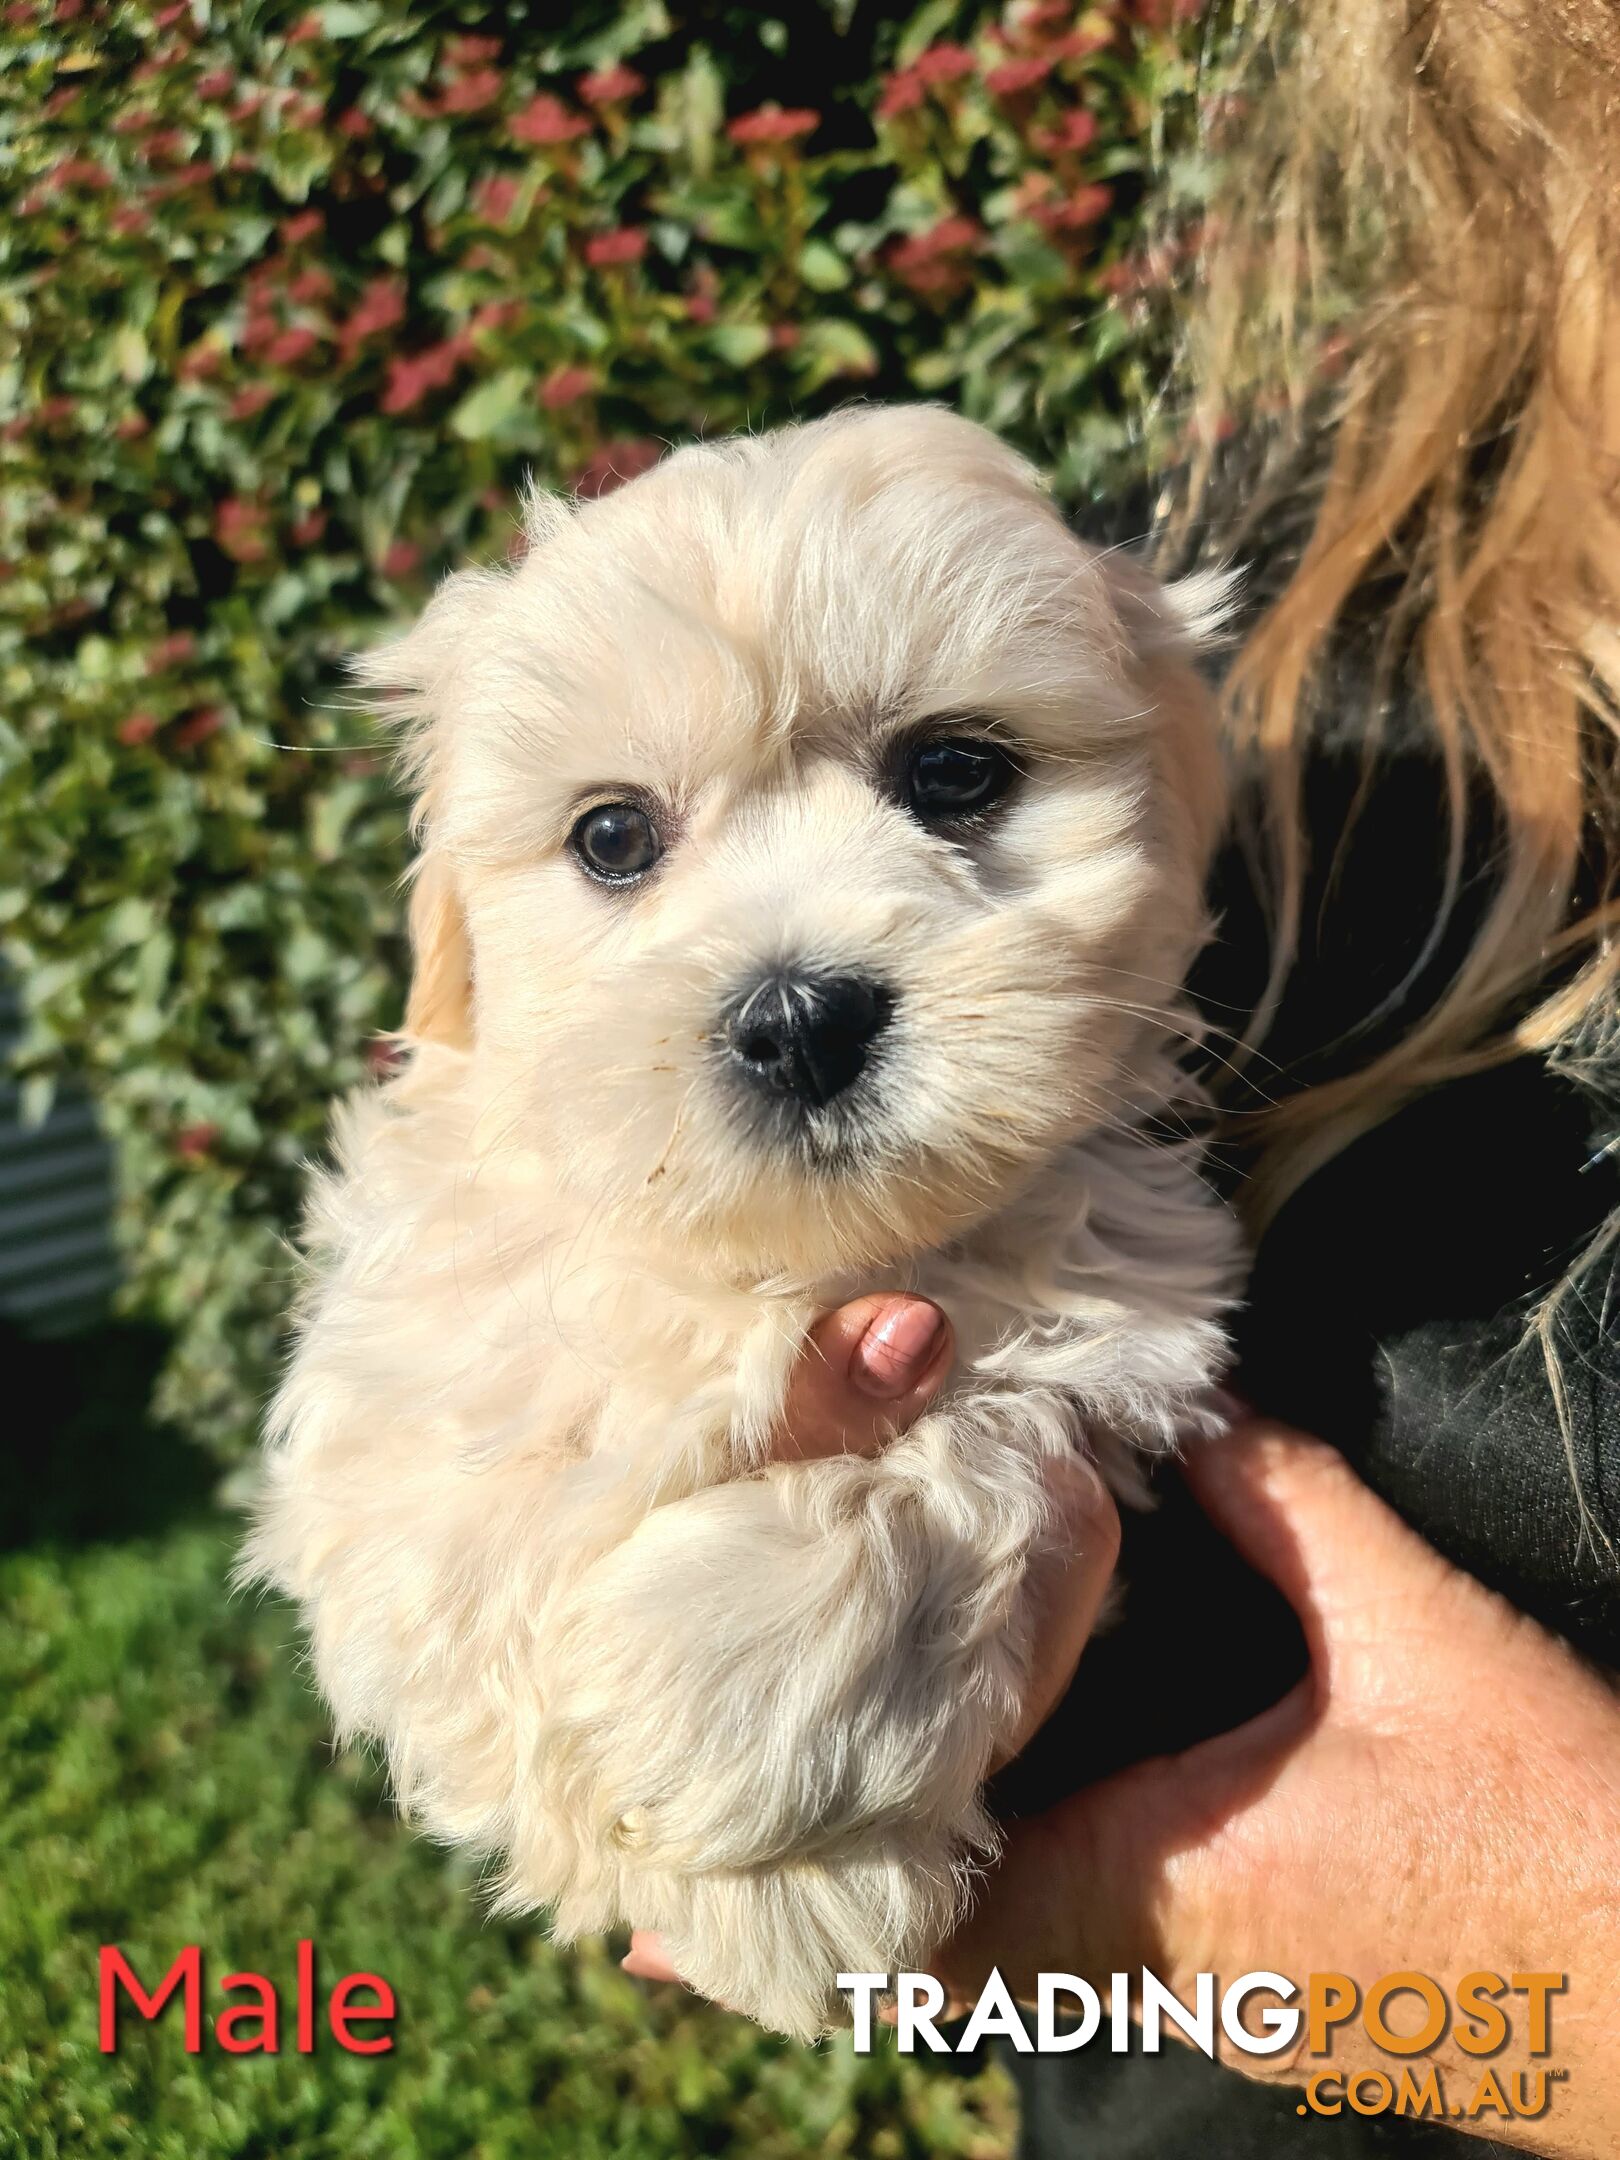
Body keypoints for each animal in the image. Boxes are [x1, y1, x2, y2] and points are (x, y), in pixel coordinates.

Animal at [247, 408, 1244, 2039]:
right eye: (611, 837)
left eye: (955, 771)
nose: (798, 1018)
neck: (783, 1261)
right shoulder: (399, 1389)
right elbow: (474, 1538)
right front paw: (713, 1865)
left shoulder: (1110, 1328)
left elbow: (979, 1450)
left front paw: (745, 1769)